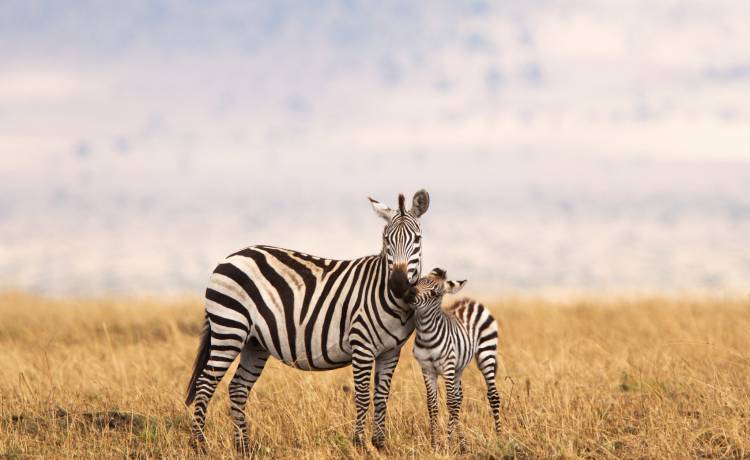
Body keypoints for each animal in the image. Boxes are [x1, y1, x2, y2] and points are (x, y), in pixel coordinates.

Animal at [185, 190, 430, 453]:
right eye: (386, 240)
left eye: (417, 239)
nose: (398, 284)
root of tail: (230, 257)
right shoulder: (361, 345)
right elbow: (363, 396)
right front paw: (359, 445)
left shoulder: (391, 351)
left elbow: (382, 396)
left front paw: (380, 445)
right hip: (229, 328)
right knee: (205, 384)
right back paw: (199, 445)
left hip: (254, 342)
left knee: (238, 388)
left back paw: (244, 448)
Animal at [409, 268, 501, 452]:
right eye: (417, 282)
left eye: (435, 293)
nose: (409, 294)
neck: (426, 334)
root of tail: (472, 302)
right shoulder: (427, 369)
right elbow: (432, 404)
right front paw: (435, 445)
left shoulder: (447, 366)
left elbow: (450, 403)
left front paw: (447, 444)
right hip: (459, 367)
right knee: (459, 398)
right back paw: (464, 445)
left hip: (486, 354)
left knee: (493, 396)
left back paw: (500, 438)